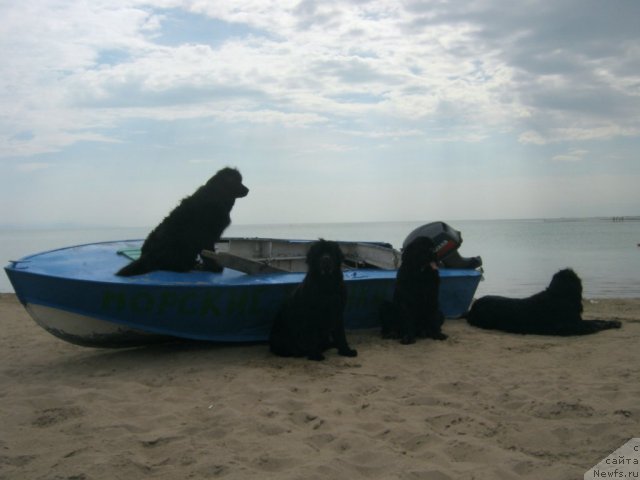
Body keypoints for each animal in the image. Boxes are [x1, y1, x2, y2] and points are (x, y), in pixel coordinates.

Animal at [116, 166, 249, 276]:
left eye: (241, 180)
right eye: (237, 181)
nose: (248, 190)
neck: (218, 196)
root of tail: (148, 256)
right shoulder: (207, 236)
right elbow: (209, 253)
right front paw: (215, 268)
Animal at [468, 268, 624, 336]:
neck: (559, 296)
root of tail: (473, 307)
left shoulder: (576, 321)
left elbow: (596, 320)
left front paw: (613, 322)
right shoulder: (570, 327)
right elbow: (593, 326)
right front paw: (607, 325)